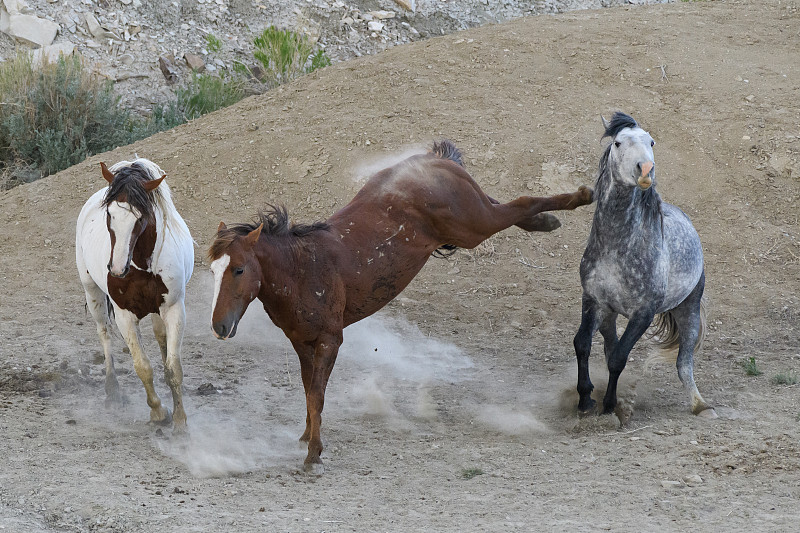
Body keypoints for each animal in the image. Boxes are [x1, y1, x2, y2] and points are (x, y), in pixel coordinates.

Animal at [76, 158, 195, 428]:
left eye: (140, 218)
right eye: (109, 214)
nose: (117, 269)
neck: (142, 267)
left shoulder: (174, 309)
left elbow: (173, 368)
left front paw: (180, 419)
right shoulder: (125, 316)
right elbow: (142, 367)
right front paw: (159, 412)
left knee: (161, 338)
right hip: (92, 292)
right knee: (104, 334)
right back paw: (112, 391)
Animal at [208, 139, 592, 472]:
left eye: (239, 269)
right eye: (212, 269)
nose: (219, 326)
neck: (302, 267)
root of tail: (435, 161)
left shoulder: (330, 340)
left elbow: (316, 394)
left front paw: (313, 454)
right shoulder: (302, 343)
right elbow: (308, 390)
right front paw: (306, 437)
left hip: (474, 225)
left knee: (520, 202)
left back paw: (579, 197)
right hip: (473, 218)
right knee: (505, 204)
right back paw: (546, 220)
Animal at [572, 112, 716, 418]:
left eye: (651, 142)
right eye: (617, 142)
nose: (646, 169)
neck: (617, 246)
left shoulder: (643, 314)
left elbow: (619, 358)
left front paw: (609, 406)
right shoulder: (593, 300)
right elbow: (583, 344)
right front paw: (585, 400)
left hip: (689, 309)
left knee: (684, 362)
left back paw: (701, 405)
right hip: (609, 314)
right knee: (608, 342)